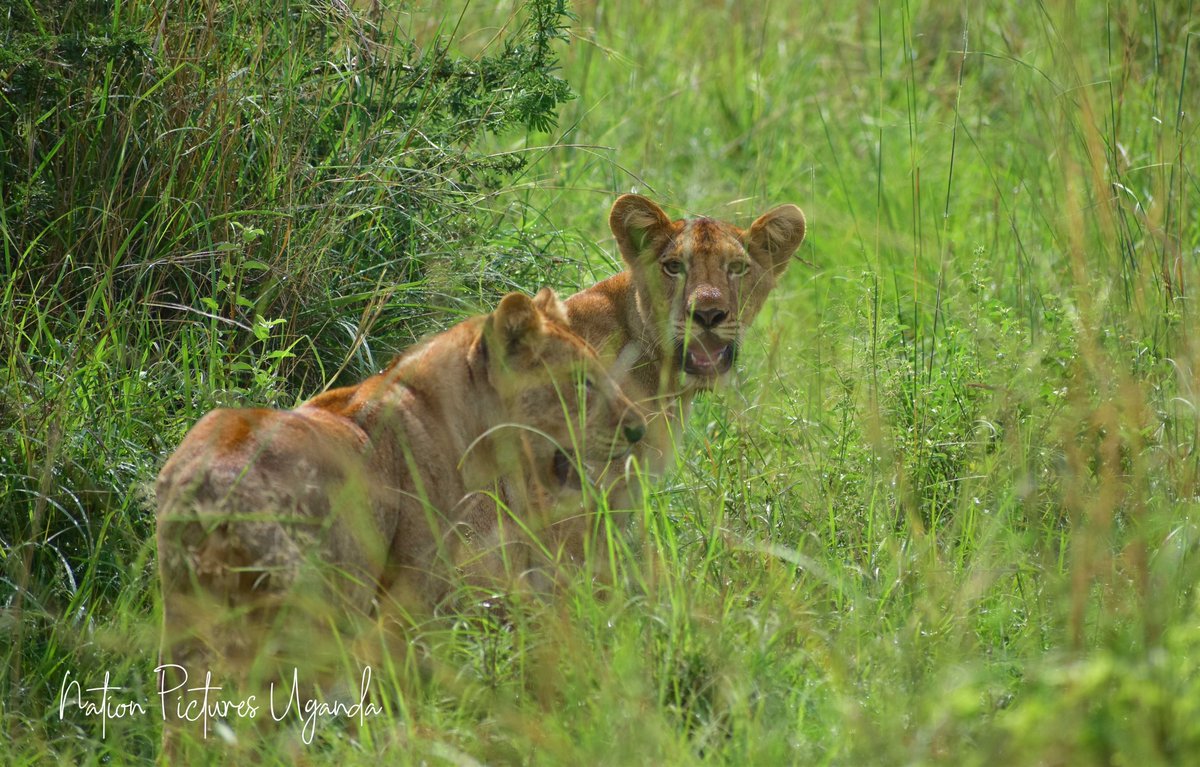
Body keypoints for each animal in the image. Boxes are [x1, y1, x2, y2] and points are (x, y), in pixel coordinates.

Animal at [155, 288, 644, 750]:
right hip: (304, 619)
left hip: (187, 622)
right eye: (580, 383)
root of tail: (213, 484)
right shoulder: (413, 595)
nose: (638, 428)